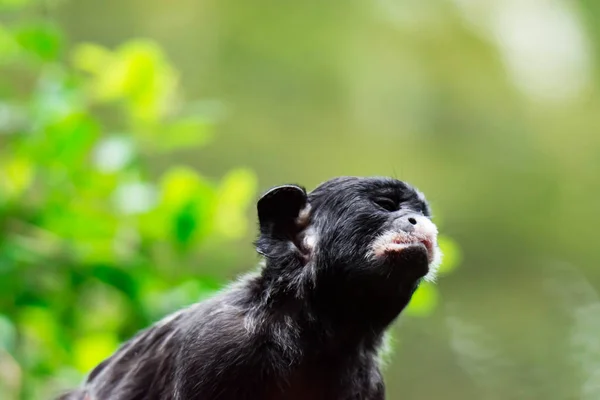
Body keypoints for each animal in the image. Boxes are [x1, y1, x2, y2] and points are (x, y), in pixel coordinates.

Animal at [57, 177, 440, 400]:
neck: (308, 336)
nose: (419, 221)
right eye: (386, 206)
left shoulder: (367, 383)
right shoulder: (216, 348)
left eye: (420, 212)